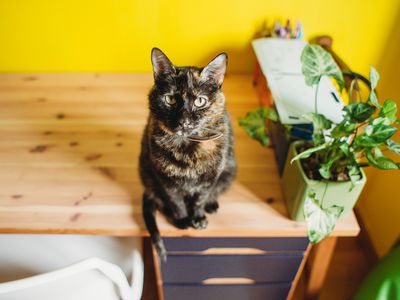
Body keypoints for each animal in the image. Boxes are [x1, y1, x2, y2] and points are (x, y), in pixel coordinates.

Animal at [139, 48, 236, 258]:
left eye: (200, 101)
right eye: (170, 99)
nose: (184, 121)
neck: (188, 150)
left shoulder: (209, 180)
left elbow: (199, 199)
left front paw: (197, 217)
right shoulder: (166, 180)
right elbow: (176, 202)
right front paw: (183, 219)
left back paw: (211, 206)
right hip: (148, 175)